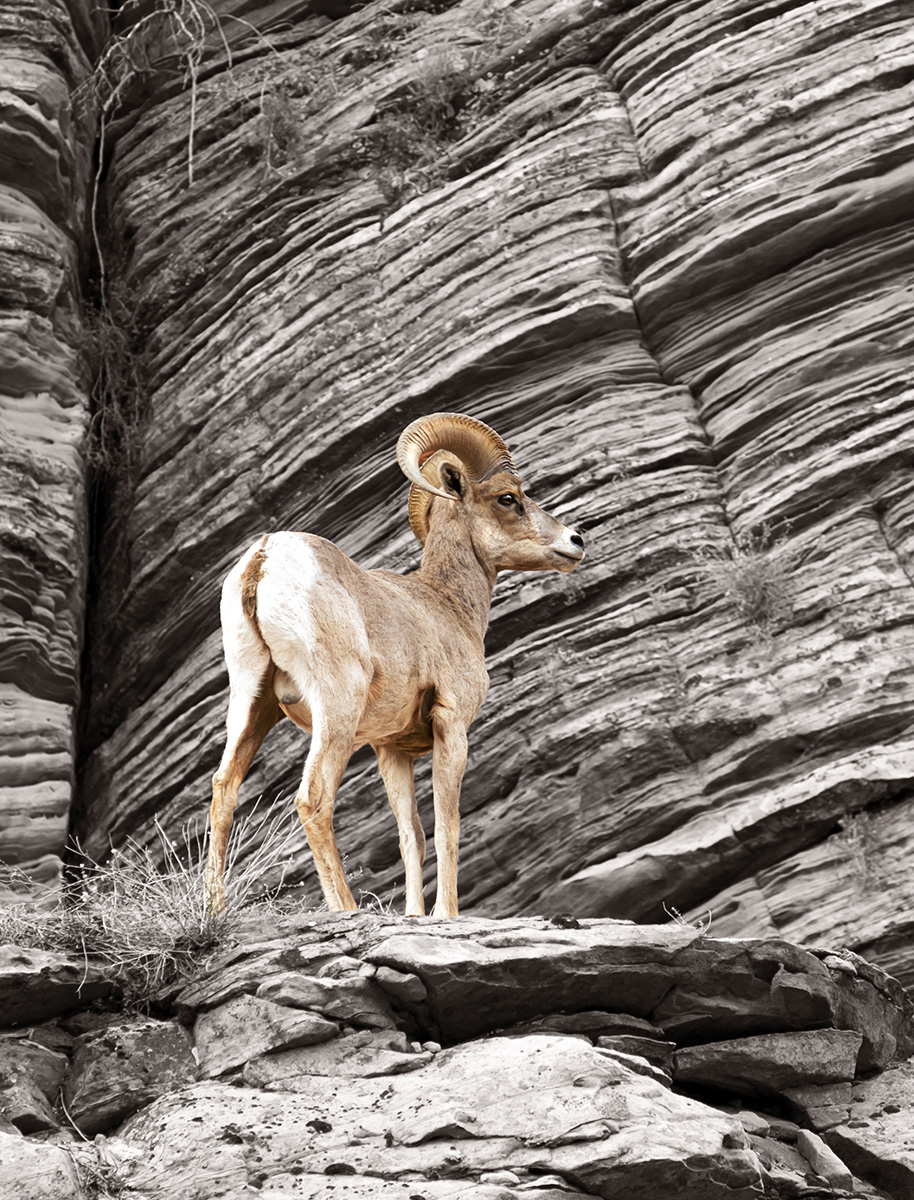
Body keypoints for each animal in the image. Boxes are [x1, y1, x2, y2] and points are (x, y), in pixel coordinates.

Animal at [205, 412, 584, 918]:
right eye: (509, 498)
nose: (576, 541)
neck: (448, 605)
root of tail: (265, 558)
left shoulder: (391, 749)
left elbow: (412, 837)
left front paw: (414, 916)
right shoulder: (451, 727)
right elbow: (446, 826)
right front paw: (446, 915)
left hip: (252, 701)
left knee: (224, 789)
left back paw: (214, 910)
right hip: (337, 709)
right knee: (312, 799)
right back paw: (345, 907)